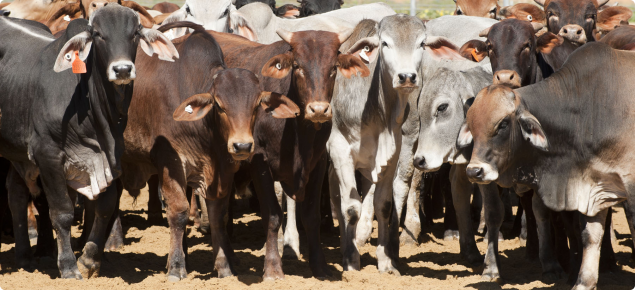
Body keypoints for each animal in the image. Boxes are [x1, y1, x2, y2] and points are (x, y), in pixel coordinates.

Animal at [0, 3, 176, 278]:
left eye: (135, 33)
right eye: (98, 35)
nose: (122, 70)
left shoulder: (111, 155)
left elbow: (105, 206)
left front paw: (89, 260)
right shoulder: (47, 155)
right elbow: (61, 211)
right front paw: (69, 266)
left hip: (16, 152)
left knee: (16, 194)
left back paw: (24, 256)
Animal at [462, 41, 635, 290]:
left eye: (503, 124)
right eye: (472, 125)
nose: (474, 171)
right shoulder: (595, 185)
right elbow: (590, 235)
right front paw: (583, 282)